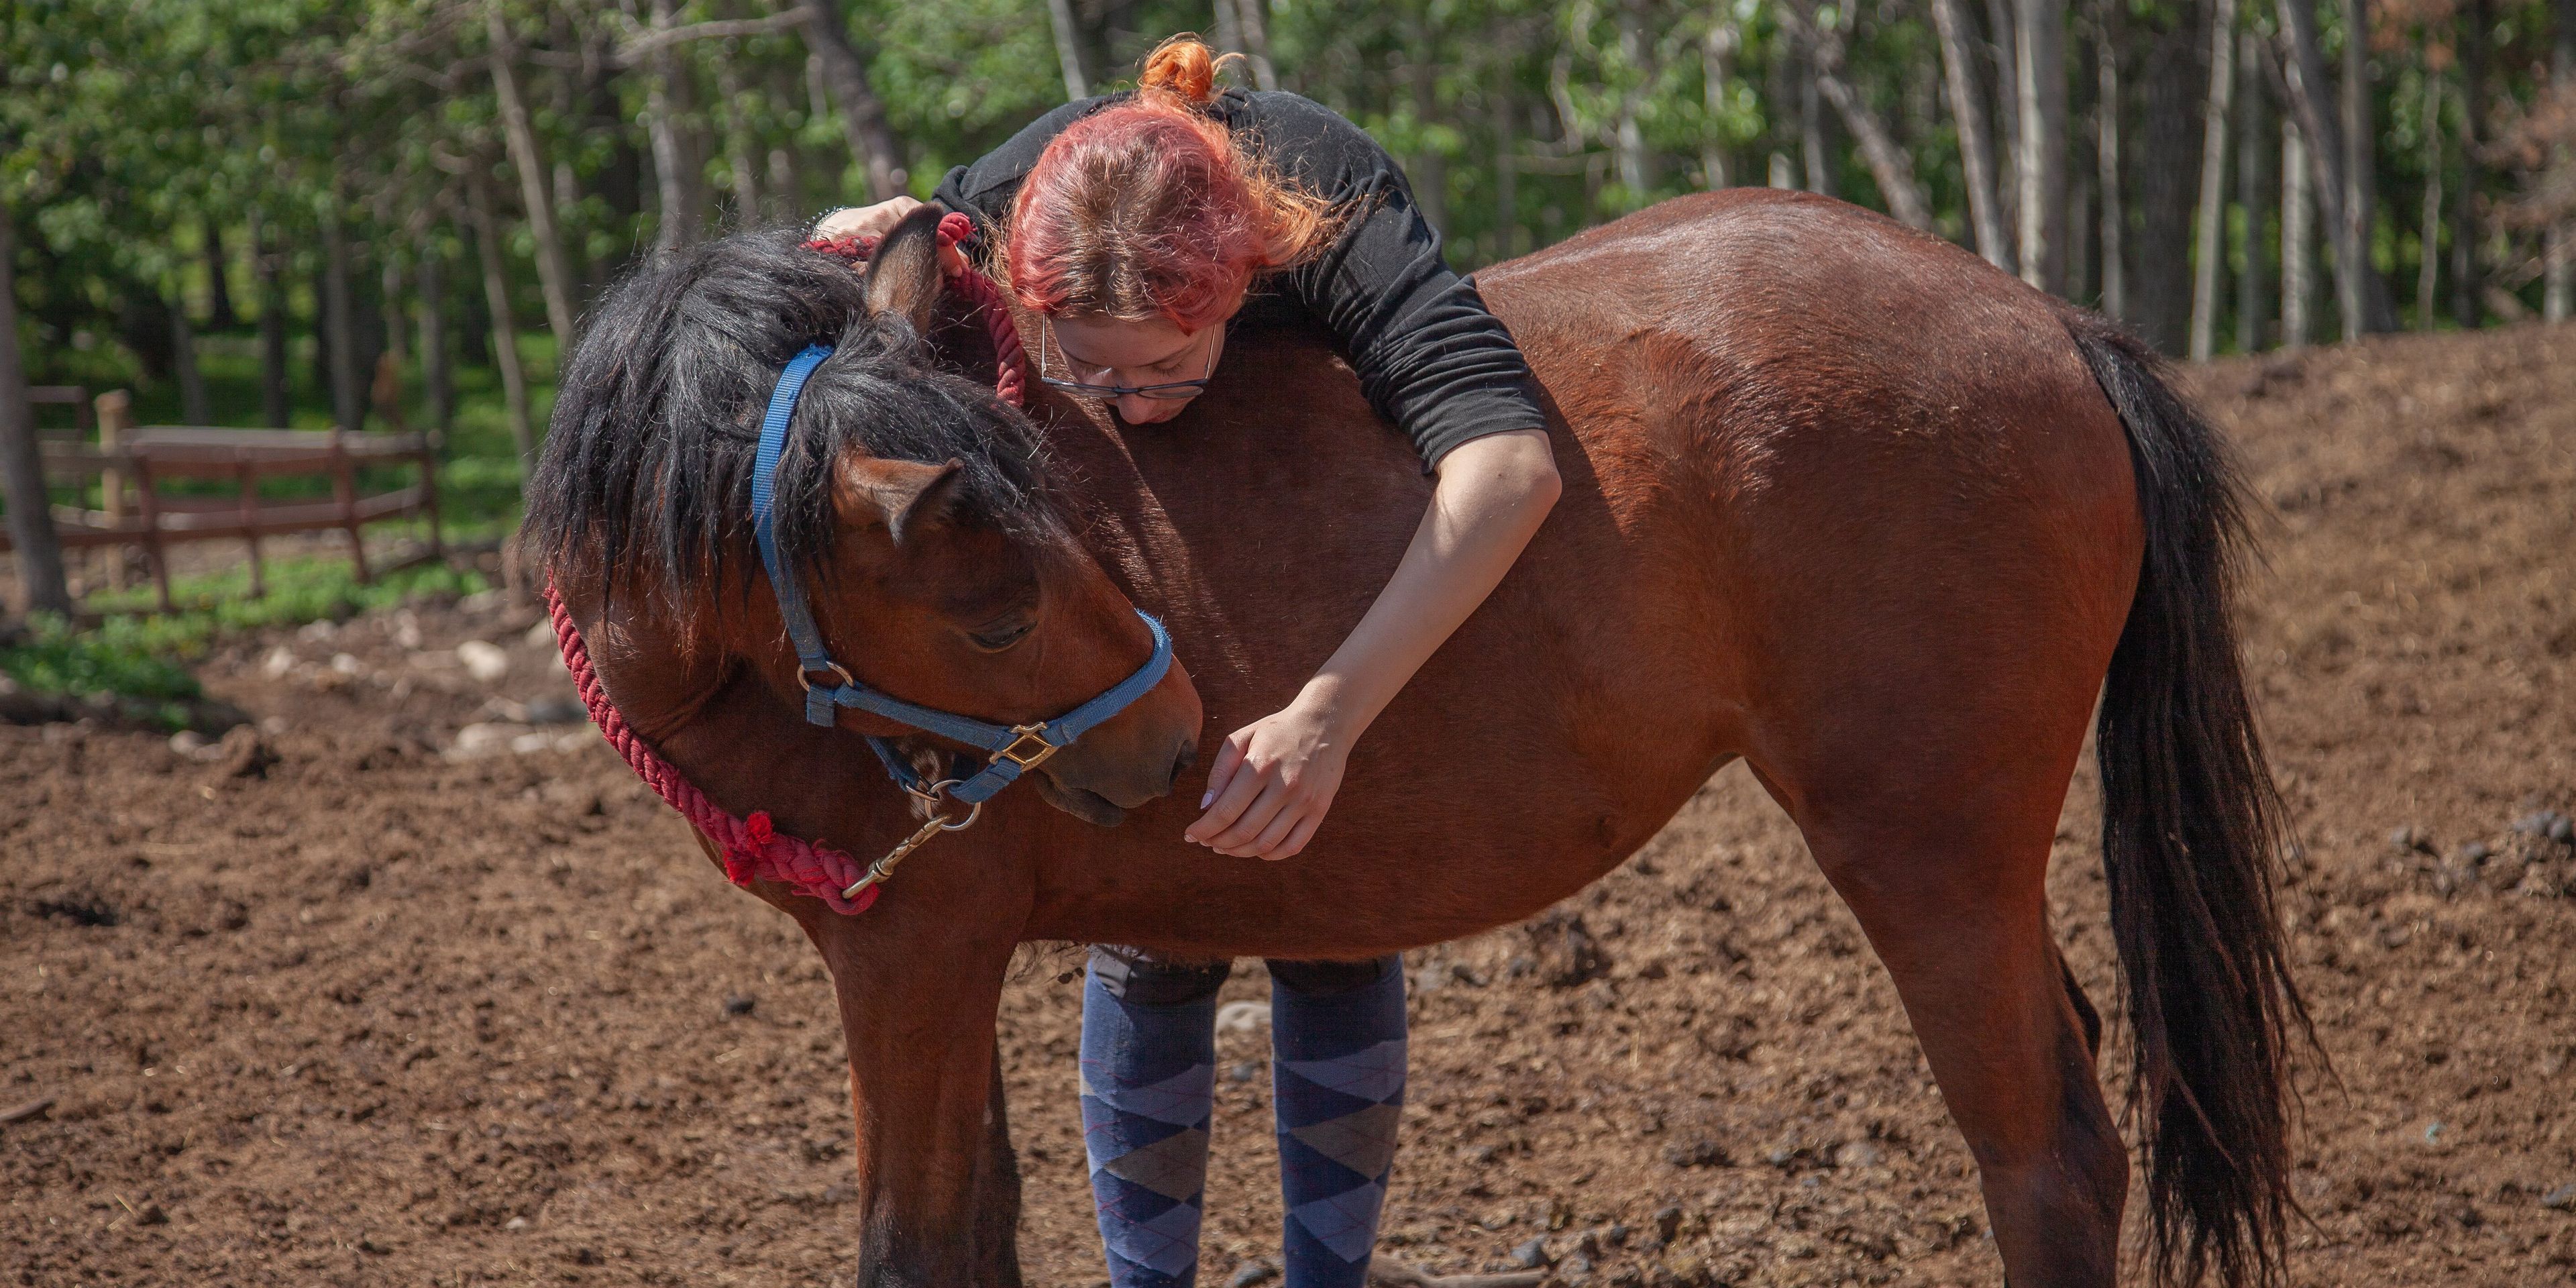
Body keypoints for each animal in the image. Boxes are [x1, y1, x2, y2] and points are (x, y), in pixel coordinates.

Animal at [524, 191, 2306, 1288]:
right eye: (1002, 607)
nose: (1173, 737)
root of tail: (2044, 322)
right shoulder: (939, 966)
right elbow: (986, 1225)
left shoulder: (910, 957)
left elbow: (914, 1244)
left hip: (1929, 854)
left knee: (2048, 1154)